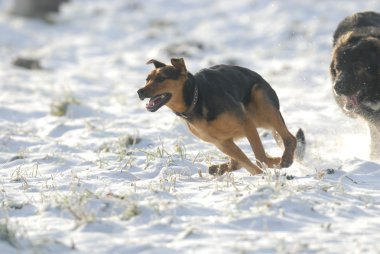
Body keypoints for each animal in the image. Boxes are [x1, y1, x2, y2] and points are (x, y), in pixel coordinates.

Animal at [138, 58, 304, 176]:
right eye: (147, 79)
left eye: (161, 79)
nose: (140, 91)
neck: (196, 100)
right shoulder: (221, 142)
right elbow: (246, 161)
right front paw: (261, 174)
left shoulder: (246, 122)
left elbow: (259, 158)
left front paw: (266, 172)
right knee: (237, 161)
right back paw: (219, 169)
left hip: (261, 100)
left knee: (289, 138)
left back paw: (285, 159)